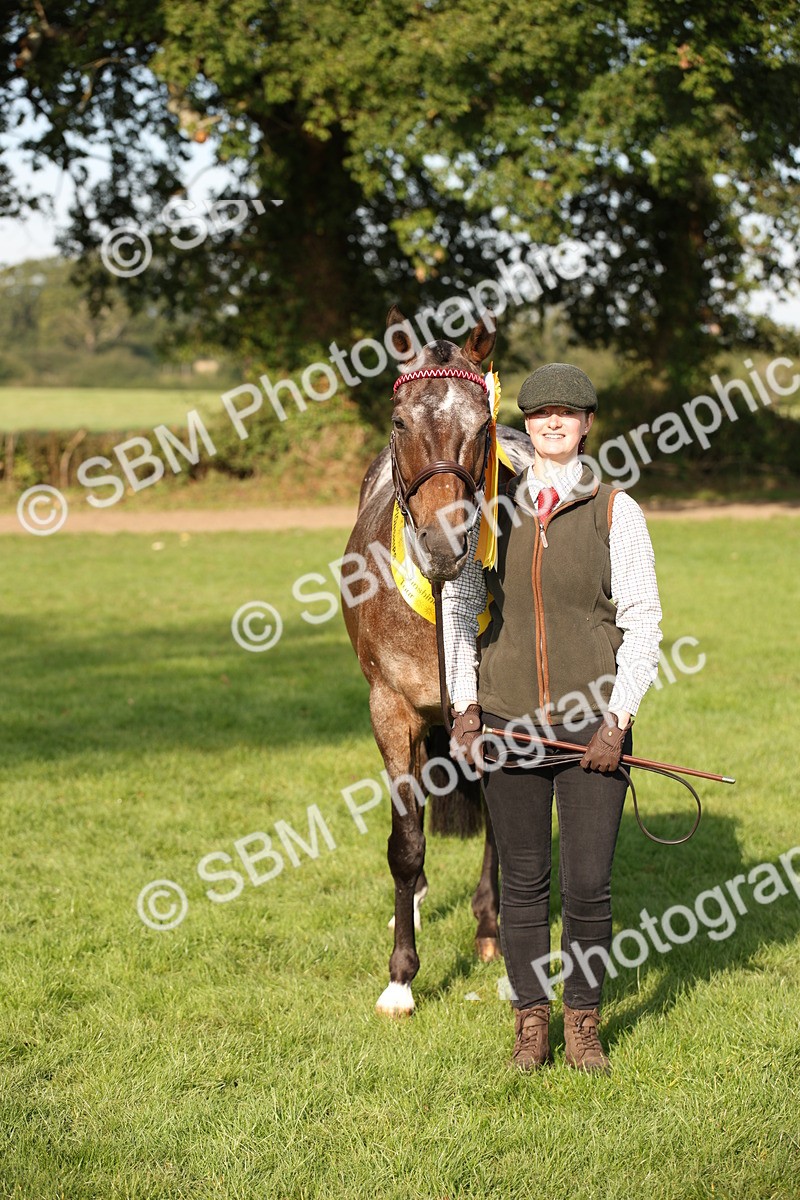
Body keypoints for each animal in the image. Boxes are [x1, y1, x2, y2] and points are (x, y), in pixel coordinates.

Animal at [342, 305, 534, 1016]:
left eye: (480, 427)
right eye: (400, 422)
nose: (444, 544)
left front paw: (496, 939)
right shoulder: (391, 709)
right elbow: (404, 841)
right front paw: (401, 978)